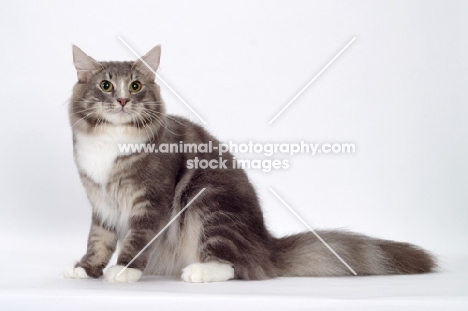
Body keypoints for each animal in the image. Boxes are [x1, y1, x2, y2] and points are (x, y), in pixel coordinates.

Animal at [62, 45, 436, 282]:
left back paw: (199, 271)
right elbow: (99, 239)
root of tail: (265, 244)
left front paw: (124, 270)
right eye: (106, 85)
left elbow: (137, 238)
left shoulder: (151, 199)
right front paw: (85, 268)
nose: (123, 100)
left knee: (234, 267)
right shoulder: (101, 201)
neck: (112, 139)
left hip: (208, 200)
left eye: (136, 85)